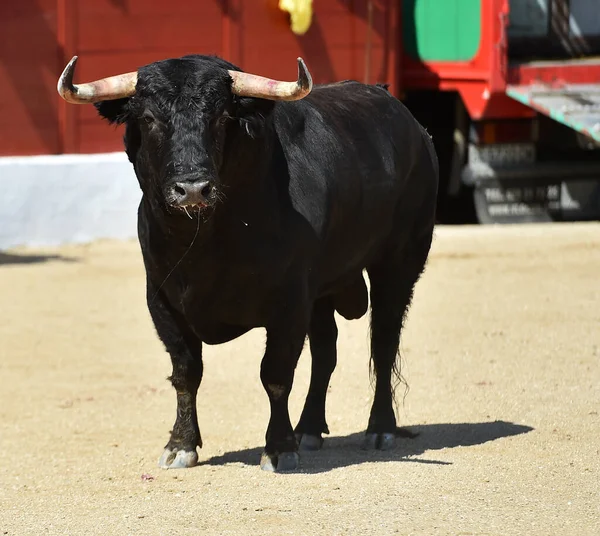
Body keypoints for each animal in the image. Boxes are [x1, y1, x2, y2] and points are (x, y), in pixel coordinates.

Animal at [58, 55, 438, 474]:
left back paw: (380, 428)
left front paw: (279, 448)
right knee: (326, 351)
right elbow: (185, 373)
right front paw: (180, 444)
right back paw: (309, 429)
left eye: (223, 117)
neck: (204, 242)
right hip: (322, 289)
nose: (193, 188)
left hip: (399, 262)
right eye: (149, 118)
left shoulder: (289, 302)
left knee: (384, 342)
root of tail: (409, 122)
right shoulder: (161, 299)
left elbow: (275, 374)